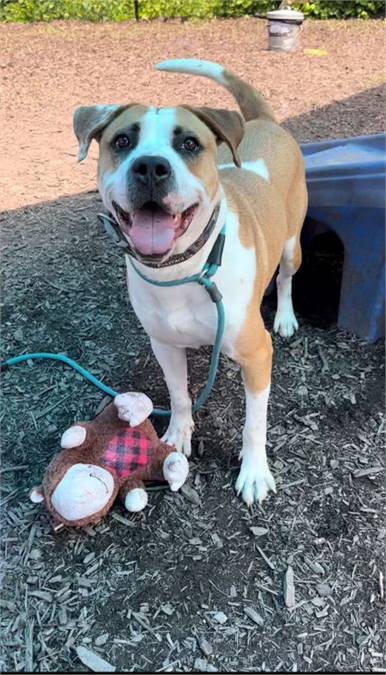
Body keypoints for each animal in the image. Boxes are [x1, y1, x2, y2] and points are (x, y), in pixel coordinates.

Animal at [73, 60, 308, 508]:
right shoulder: (164, 344)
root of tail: (264, 122)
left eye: (189, 144)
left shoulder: (257, 355)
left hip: (292, 245)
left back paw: (286, 317)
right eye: (122, 140)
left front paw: (254, 472)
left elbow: (254, 423)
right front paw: (178, 434)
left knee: (287, 278)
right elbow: (179, 394)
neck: (183, 271)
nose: (150, 167)